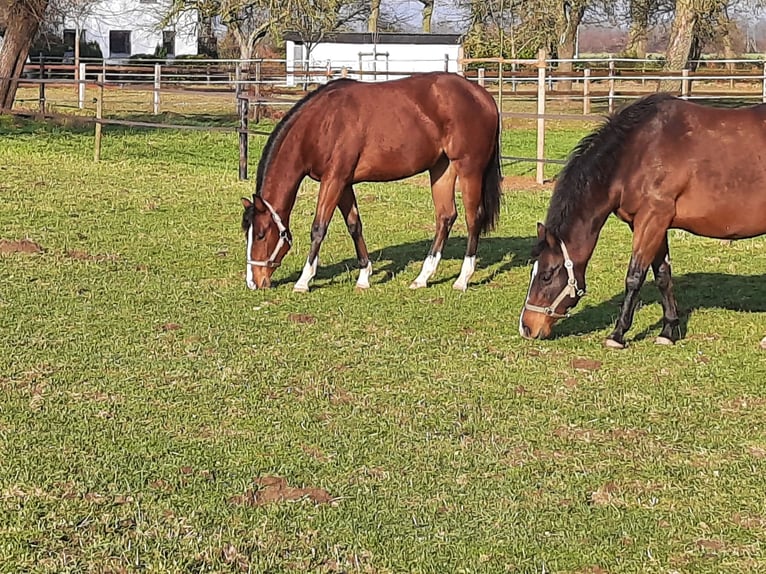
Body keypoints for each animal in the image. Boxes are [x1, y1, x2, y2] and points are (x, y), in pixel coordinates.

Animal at [240, 72, 502, 293]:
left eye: (261, 234)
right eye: (248, 234)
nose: (254, 282)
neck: (321, 124)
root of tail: (483, 96)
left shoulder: (333, 180)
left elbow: (319, 228)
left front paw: (303, 281)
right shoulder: (343, 183)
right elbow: (354, 226)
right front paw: (364, 277)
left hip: (468, 169)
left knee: (473, 218)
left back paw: (462, 280)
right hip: (442, 169)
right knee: (445, 217)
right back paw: (422, 278)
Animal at [519, 93, 766, 348]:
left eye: (547, 275)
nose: (527, 327)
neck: (636, 153)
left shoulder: (651, 219)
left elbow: (634, 277)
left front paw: (617, 335)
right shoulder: (656, 224)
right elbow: (662, 275)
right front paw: (668, 331)